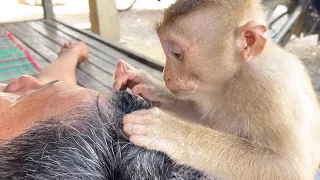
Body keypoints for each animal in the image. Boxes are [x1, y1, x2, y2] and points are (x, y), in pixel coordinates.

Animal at [112, 0, 320, 180]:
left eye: (177, 54)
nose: (166, 75)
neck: (235, 77)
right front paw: (146, 83)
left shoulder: (272, 87)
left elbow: (289, 168)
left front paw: (167, 131)